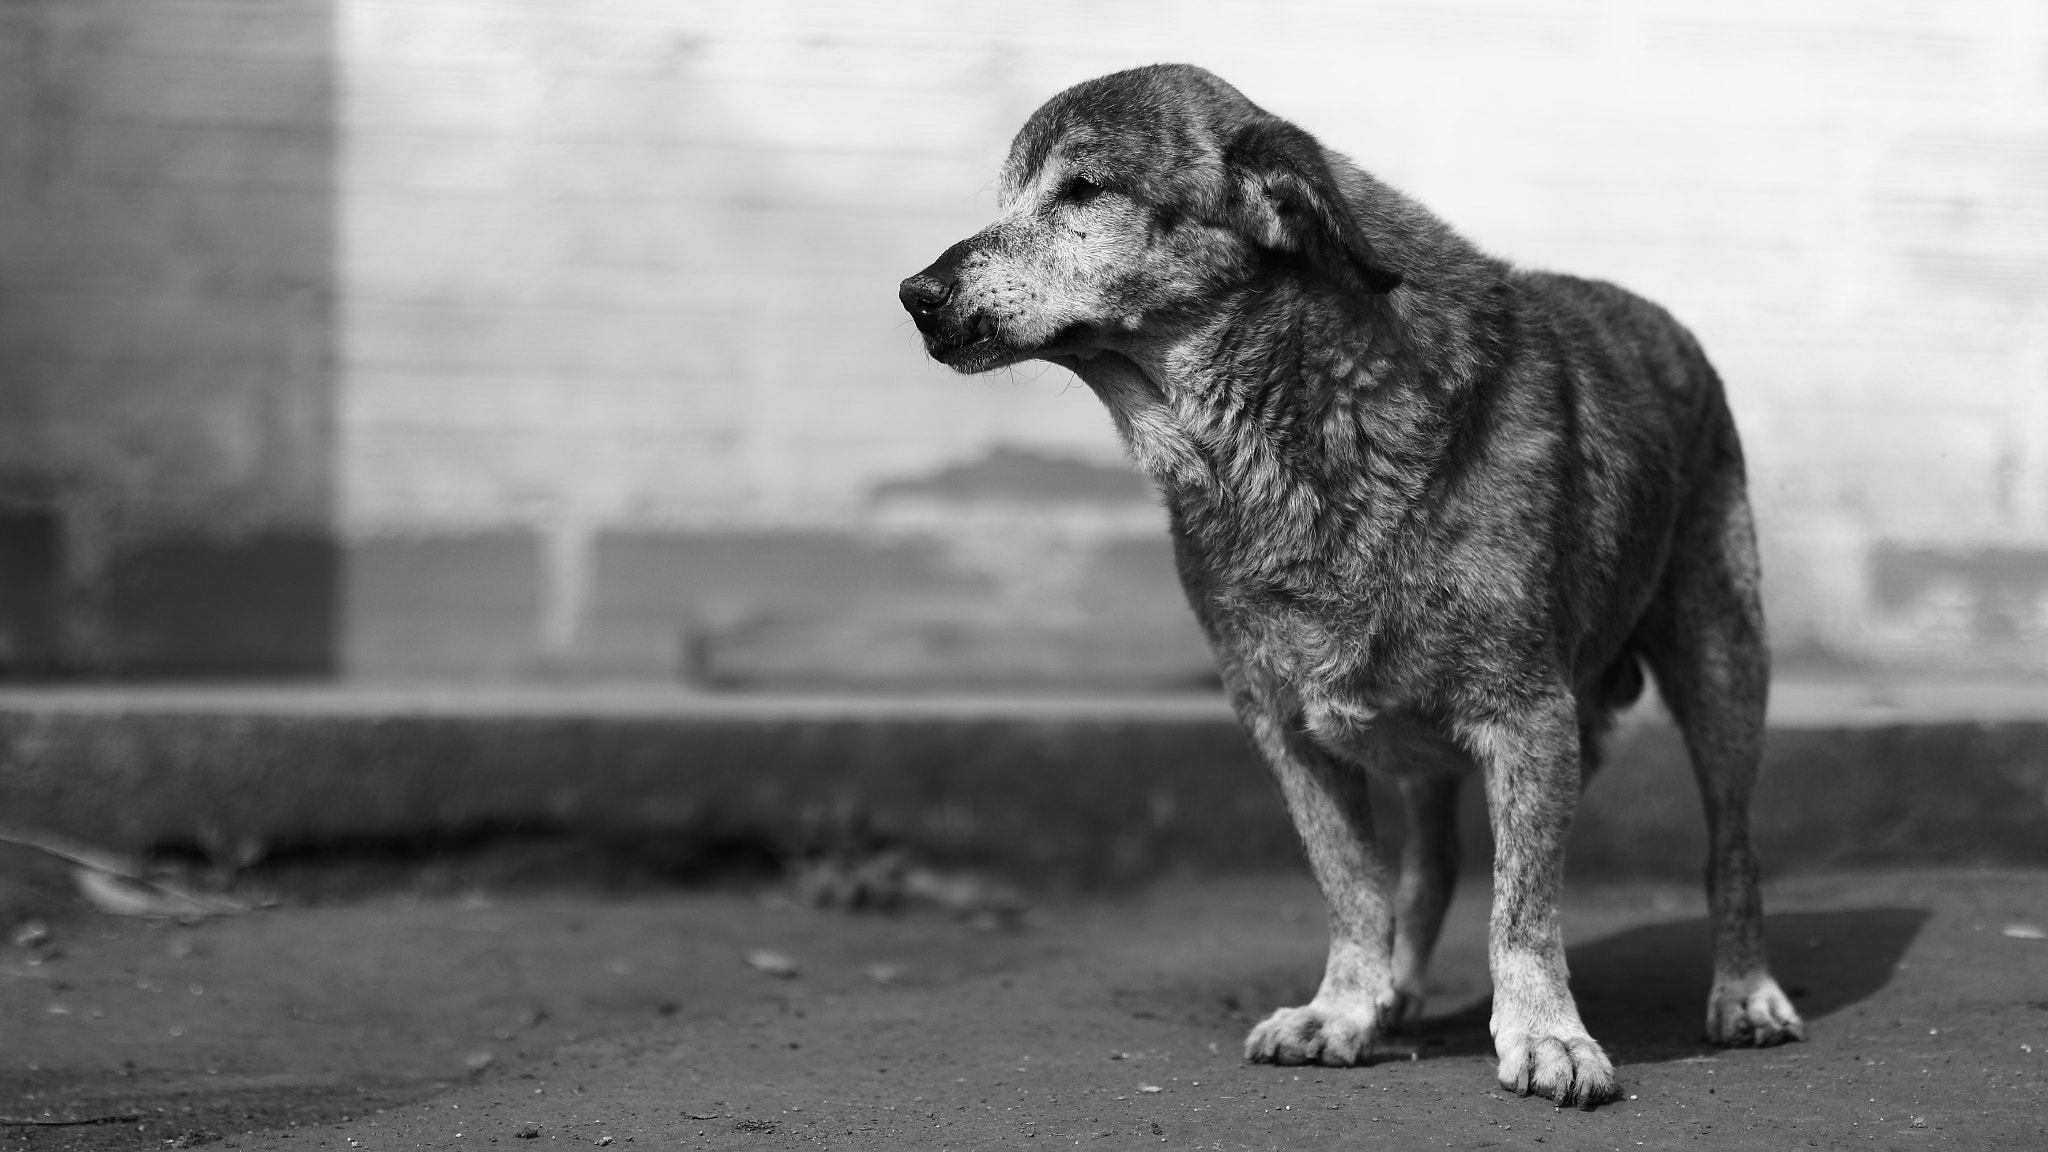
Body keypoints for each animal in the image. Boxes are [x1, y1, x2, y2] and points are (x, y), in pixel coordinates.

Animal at [897, 65, 1810, 1106]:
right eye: (1007, 197)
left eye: (1083, 191)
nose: (916, 292)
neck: (1289, 424)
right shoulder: (1283, 725)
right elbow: (1355, 886)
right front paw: (1344, 1010)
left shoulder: (1530, 715)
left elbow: (1523, 909)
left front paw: (1546, 1035)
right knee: (1434, 863)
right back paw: (1398, 995)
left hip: (1723, 666)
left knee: (1731, 846)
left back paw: (1746, 994)